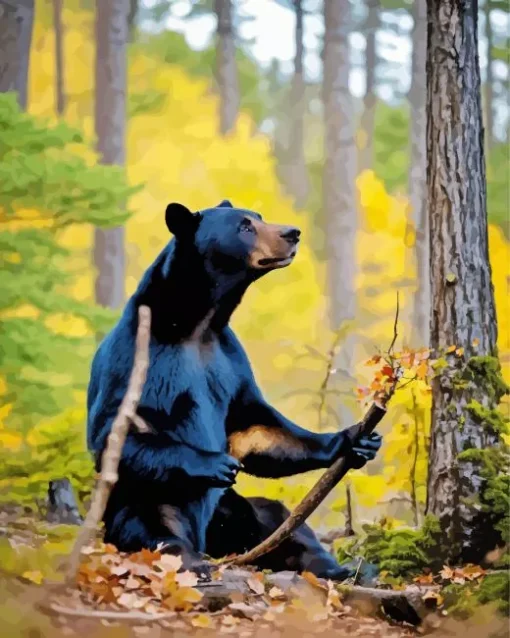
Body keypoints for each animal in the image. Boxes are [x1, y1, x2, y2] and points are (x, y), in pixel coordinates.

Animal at [87, 202, 380, 584]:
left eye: (258, 217)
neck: (197, 322)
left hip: (232, 508)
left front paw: (355, 438)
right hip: (156, 498)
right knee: (152, 530)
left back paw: (340, 568)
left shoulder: (229, 359)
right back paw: (190, 559)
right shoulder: (140, 354)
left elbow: (256, 425)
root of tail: (209, 543)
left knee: (280, 522)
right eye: (244, 227)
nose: (292, 233)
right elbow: (114, 431)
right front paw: (214, 461)